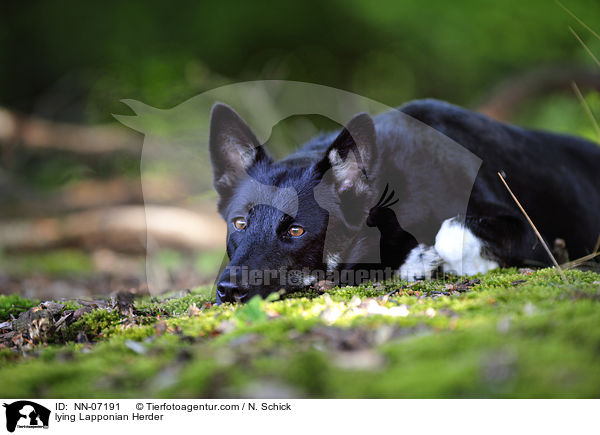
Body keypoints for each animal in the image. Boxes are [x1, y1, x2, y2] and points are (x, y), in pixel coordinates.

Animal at [210, 99, 600, 304]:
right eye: (240, 224)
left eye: (295, 230)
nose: (228, 291)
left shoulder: (533, 236)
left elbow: (450, 232)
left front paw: (427, 261)